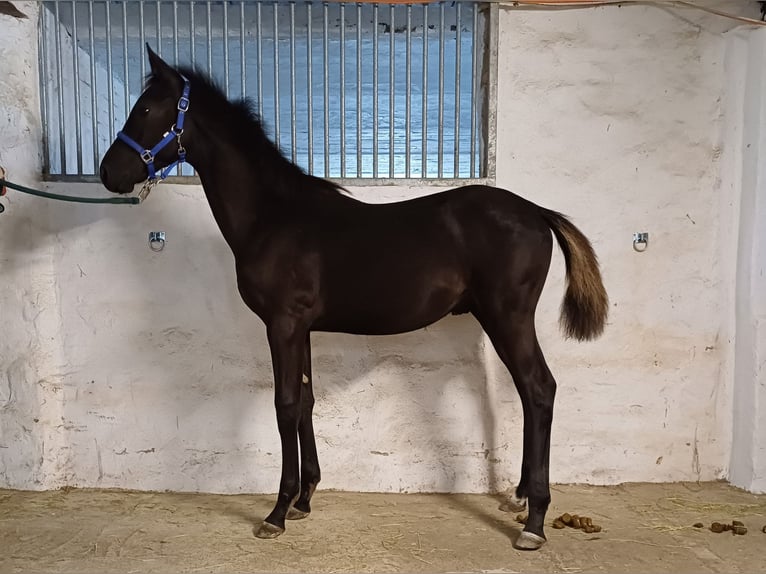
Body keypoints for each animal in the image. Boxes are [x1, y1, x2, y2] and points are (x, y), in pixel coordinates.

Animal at [99, 47, 608, 552]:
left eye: (146, 109)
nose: (108, 173)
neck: (274, 217)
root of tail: (536, 212)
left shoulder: (282, 325)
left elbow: (285, 405)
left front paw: (277, 512)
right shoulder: (300, 328)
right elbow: (305, 402)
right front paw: (304, 500)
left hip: (509, 317)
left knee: (539, 389)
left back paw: (534, 521)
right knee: (527, 393)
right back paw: (519, 497)